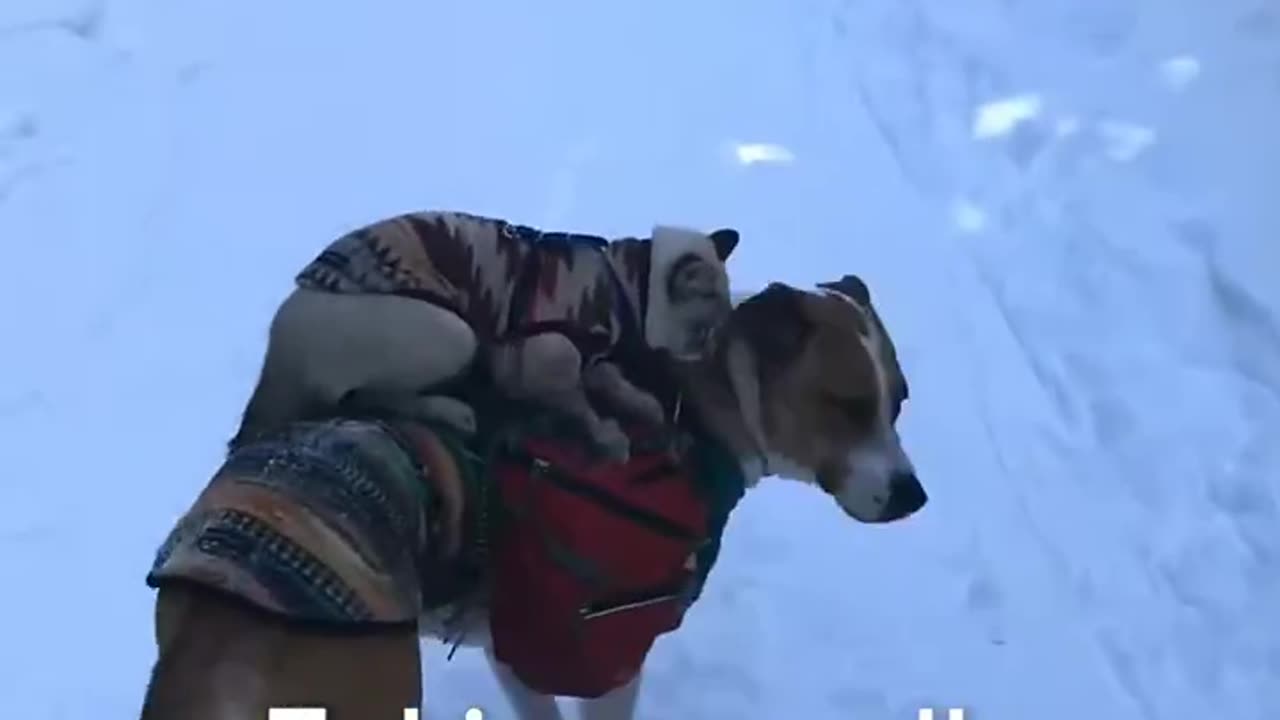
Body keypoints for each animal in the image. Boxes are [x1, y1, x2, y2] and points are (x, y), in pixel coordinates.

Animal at [140, 272, 926, 717]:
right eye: (849, 404)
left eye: (900, 400)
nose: (912, 496)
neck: (693, 411)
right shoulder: (599, 653)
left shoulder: (513, 653)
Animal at [230, 210, 742, 458]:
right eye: (704, 330)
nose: (711, 350)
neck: (627, 282)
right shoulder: (546, 357)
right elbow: (580, 401)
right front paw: (611, 437)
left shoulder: (593, 356)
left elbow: (612, 383)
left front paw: (644, 407)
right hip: (456, 335)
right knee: (362, 398)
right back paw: (452, 411)